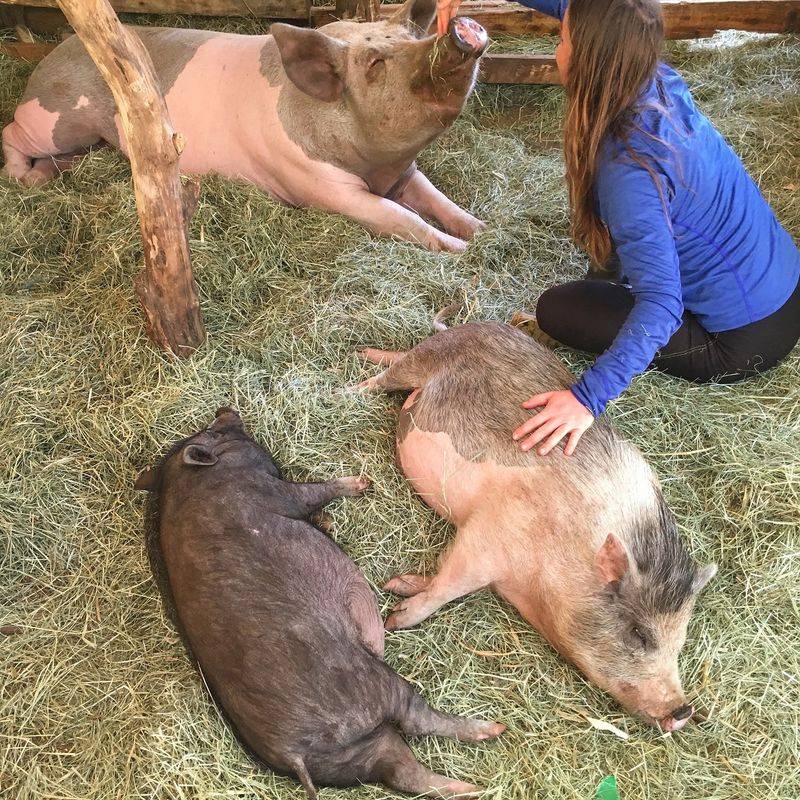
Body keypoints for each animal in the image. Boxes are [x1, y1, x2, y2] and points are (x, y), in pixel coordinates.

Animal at [1, 0, 488, 252]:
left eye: (411, 38)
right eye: (374, 64)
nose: (461, 32)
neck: (378, 168)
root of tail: (58, 46)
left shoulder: (407, 171)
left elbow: (436, 199)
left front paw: (483, 232)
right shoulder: (321, 188)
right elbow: (399, 217)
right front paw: (465, 253)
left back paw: (48, 175)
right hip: (56, 119)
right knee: (9, 131)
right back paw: (25, 178)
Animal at [133, 407, 505, 799]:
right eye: (212, 432)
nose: (225, 410)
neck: (190, 482)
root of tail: (292, 752)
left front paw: (329, 521)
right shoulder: (273, 492)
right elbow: (313, 493)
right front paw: (361, 484)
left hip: (355, 754)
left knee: (404, 773)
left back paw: (471, 786)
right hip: (374, 685)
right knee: (415, 719)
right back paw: (493, 731)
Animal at [358, 322, 717, 732]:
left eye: (681, 639)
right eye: (639, 633)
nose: (683, 711)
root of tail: (478, 324)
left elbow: (438, 579)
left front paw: (396, 586)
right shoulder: (488, 533)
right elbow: (448, 585)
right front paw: (393, 620)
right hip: (426, 358)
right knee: (387, 375)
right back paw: (354, 380)